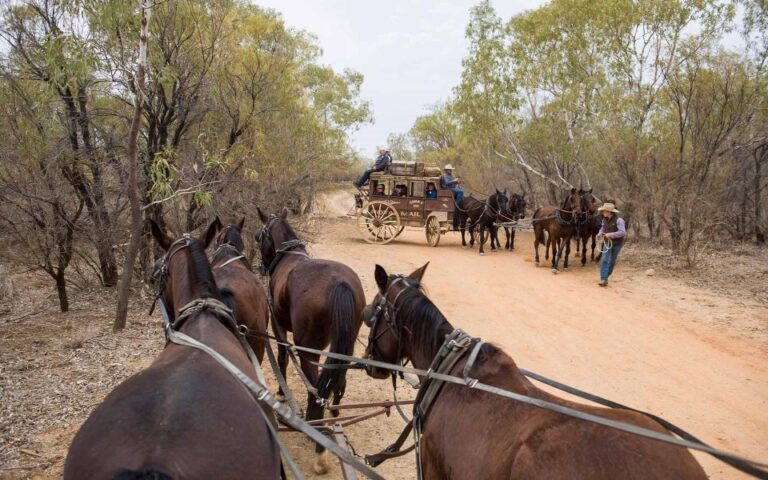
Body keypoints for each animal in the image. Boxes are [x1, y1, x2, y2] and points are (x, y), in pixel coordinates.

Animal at [254, 208, 364, 474]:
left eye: (260, 236)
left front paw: (281, 392)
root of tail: (339, 283)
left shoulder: (278, 328)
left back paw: (317, 435)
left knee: (316, 387)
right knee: (338, 380)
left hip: (308, 351)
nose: (261, 266)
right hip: (345, 347)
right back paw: (332, 416)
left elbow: (282, 358)